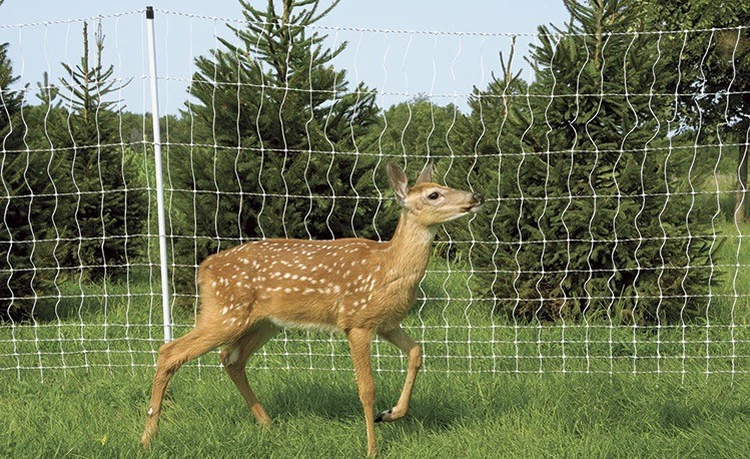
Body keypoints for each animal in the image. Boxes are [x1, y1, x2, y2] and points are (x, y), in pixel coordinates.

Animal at [141, 162, 484, 457]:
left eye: (444, 186)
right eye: (434, 194)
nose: (476, 197)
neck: (388, 268)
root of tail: (204, 268)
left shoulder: (386, 322)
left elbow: (416, 352)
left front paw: (390, 414)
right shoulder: (356, 320)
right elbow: (367, 388)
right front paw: (372, 447)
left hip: (263, 322)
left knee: (231, 358)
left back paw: (267, 424)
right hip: (225, 312)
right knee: (169, 351)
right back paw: (148, 436)